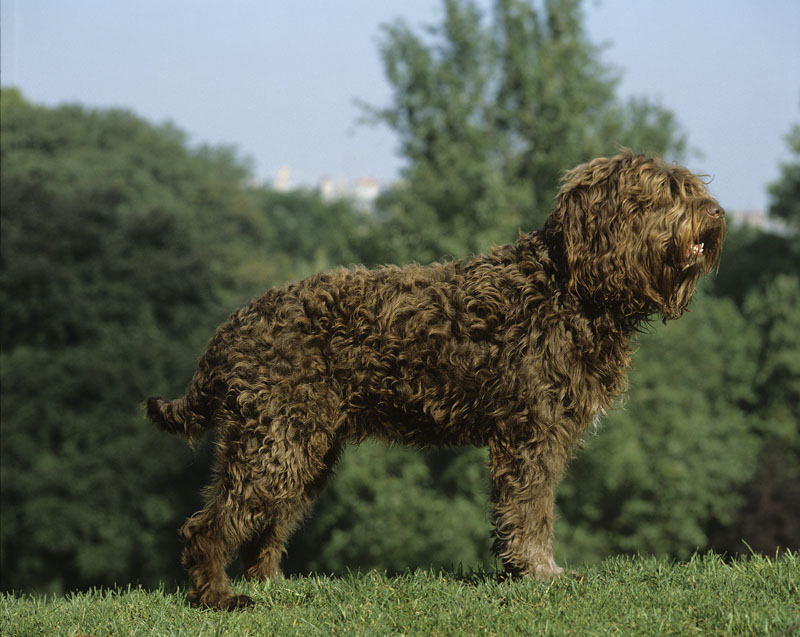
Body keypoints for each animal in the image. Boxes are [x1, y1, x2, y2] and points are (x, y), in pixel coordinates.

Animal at [145, 152, 724, 608]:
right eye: (665, 193)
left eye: (690, 187)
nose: (717, 215)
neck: (567, 287)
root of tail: (231, 328)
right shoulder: (531, 436)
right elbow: (531, 512)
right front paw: (541, 573)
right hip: (277, 444)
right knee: (207, 527)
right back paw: (219, 598)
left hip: (301, 448)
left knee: (263, 528)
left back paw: (272, 585)